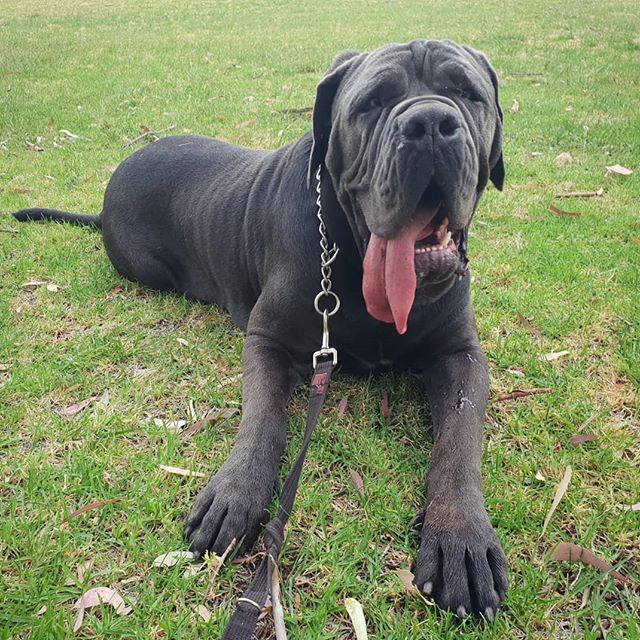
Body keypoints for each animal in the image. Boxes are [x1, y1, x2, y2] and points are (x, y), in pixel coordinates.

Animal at [12, 37, 508, 616]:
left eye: (466, 93)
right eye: (372, 103)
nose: (429, 122)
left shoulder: (461, 356)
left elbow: (459, 439)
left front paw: (461, 536)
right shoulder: (267, 341)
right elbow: (263, 417)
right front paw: (237, 493)